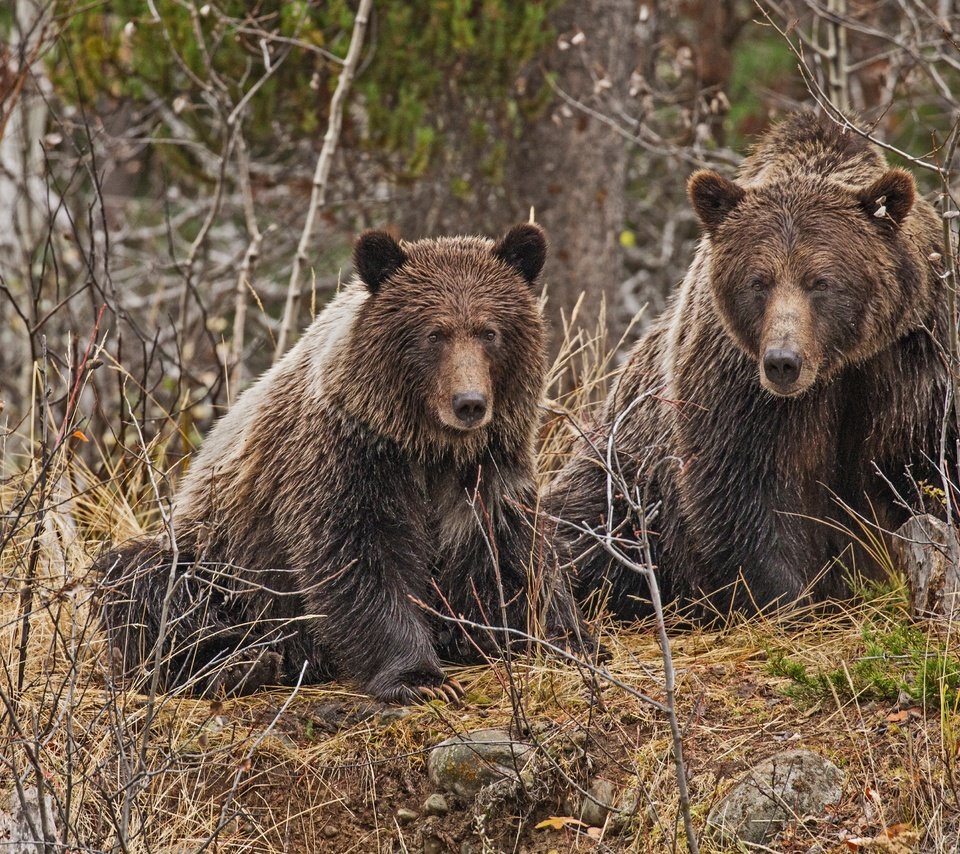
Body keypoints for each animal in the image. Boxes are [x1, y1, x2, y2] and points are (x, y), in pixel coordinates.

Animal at [101, 224, 588, 704]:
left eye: (490, 332)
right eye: (434, 334)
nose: (469, 403)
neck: (429, 446)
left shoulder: (487, 469)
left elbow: (509, 554)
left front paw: (559, 636)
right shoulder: (348, 457)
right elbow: (359, 558)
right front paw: (421, 678)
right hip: (222, 566)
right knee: (144, 580)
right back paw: (234, 664)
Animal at [552, 113, 948, 620]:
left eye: (821, 281)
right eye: (758, 281)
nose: (783, 362)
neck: (837, 366)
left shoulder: (910, 360)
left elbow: (929, 465)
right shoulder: (736, 381)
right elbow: (748, 489)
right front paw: (788, 601)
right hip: (624, 475)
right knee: (579, 529)